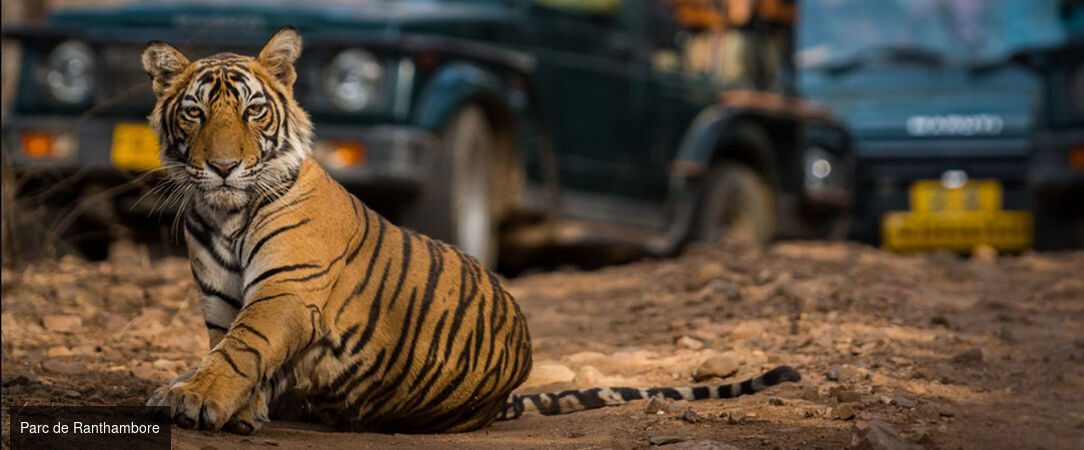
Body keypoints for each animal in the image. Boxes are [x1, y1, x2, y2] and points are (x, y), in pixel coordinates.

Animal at [141, 26, 801, 434]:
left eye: (254, 111)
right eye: (194, 112)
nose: (223, 167)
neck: (225, 214)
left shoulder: (287, 291)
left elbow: (240, 350)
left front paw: (192, 398)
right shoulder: (221, 299)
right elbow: (228, 349)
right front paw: (234, 407)